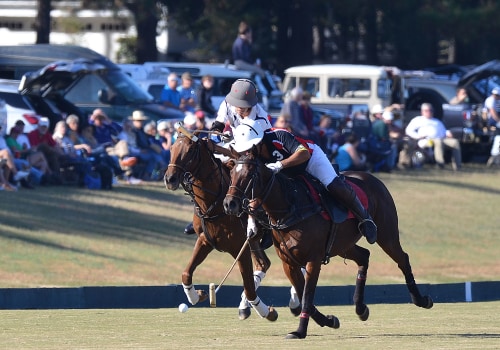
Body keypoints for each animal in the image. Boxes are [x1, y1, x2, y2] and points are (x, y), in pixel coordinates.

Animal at [164, 132, 278, 322]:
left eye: (190, 150)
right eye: (172, 148)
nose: (169, 179)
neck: (215, 202)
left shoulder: (239, 248)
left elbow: (248, 286)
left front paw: (268, 312)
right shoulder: (205, 240)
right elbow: (186, 273)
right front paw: (198, 295)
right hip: (254, 241)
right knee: (263, 264)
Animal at [224, 150, 434, 340]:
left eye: (249, 175)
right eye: (231, 173)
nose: (229, 204)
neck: (291, 208)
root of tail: (372, 177)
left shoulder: (313, 260)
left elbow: (307, 296)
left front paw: (300, 331)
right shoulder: (288, 263)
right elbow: (304, 295)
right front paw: (329, 320)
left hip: (386, 233)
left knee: (402, 258)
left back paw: (421, 300)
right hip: (343, 245)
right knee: (364, 256)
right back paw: (361, 308)